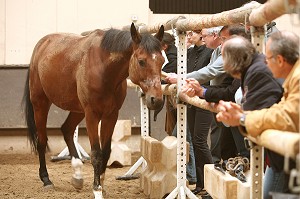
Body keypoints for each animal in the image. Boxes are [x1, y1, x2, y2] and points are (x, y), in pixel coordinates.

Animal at [22, 23, 165, 197]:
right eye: (142, 61)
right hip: (41, 104)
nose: (157, 100)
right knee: (42, 141)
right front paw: (97, 189)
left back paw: (77, 175)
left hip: (77, 111)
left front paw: (101, 185)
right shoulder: (92, 115)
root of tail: (41, 45)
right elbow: (96, 153)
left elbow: (106, 152)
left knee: (67, 129)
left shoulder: (111, 115)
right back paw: (46, 179)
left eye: (162, 61)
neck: (104, 69)